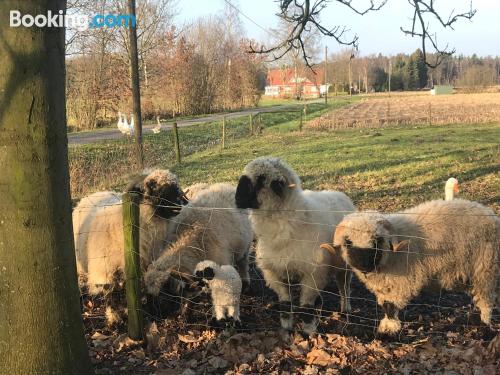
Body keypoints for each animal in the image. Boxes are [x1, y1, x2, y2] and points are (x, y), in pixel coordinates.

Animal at [234, 156, 356, 334]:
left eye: (260, 179)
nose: (236, 199)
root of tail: (339, 193)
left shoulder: (312, 273)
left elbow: (306, 308)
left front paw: (308, 332)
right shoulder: (275, 272)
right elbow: (285, 305)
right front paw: (287, 329)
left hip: (344, 265)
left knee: (344, 287)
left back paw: (345, 309)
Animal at [322, 198, 498, 336]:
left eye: (377, 240)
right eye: (348, 242)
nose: (364, 265)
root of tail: (490, 214)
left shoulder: (402, 282)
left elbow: (390, 306)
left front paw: (389, 329)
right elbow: (385, 305)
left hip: (485, 269)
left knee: (487, 301)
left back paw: (484, 325)